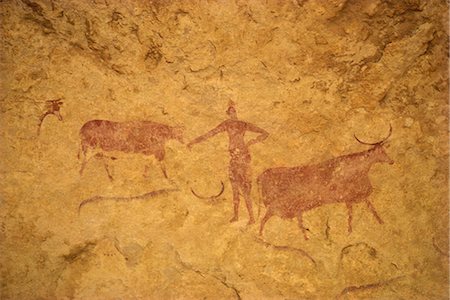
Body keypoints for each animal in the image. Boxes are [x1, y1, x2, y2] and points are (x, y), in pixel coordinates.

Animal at [256, 126, 394, 239]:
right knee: (265, 220)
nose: (391, 161)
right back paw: (262, 236)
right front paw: (349, 231)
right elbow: (351, 215)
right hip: (278, 207)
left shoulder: (358, 196)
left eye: (384, 150)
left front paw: (380, 222)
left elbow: (371, 208)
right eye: (380, 152)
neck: (359, 169)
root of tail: (261, 176)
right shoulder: (348, 197)